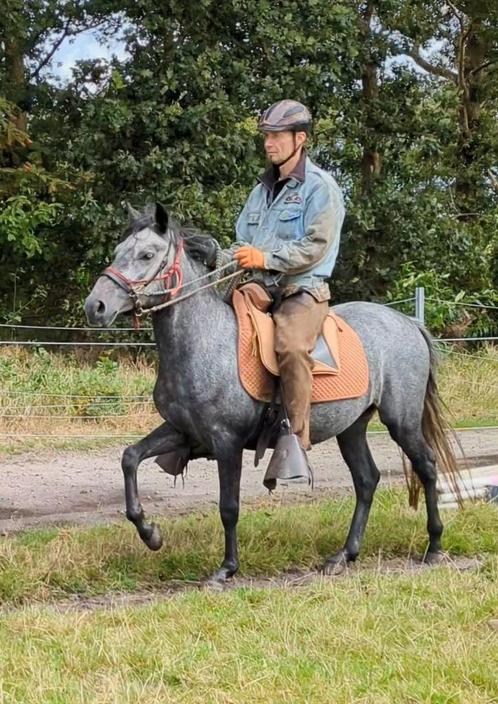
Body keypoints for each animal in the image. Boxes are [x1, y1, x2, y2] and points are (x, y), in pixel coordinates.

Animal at [84, 202, 460, 584]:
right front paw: (151, 534)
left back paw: (434, 546)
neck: (204, 342)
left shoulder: (226, 441)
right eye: (118, 251)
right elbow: (130, 457)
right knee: (367, 479)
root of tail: (407, 322)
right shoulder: (183, 432)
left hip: (402, 421)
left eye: (147, 255)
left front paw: (227, 568)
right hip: (351, 427)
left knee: (427, 467)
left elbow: (229, 506)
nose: (95, 306)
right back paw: (345, 555)